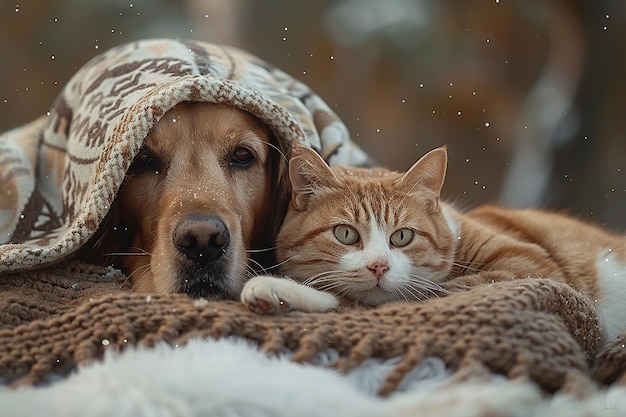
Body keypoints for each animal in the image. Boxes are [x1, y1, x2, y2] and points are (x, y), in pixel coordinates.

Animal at [240, 145, 626, 342]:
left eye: (402, 236)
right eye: (346, 233)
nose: (379, 266)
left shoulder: (532, 269)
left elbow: (373, 302)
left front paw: (279, 289)